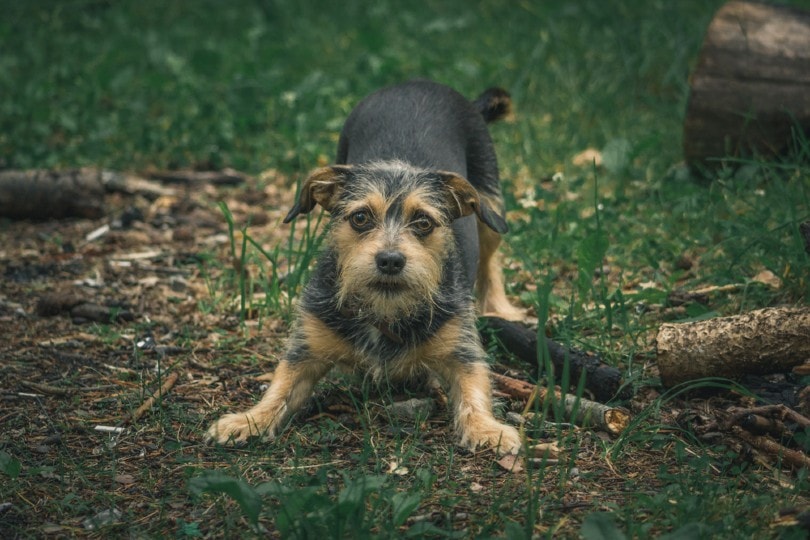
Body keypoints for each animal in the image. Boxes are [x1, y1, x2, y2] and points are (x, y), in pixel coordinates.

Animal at [208, 80, 520, 456]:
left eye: (423, 222)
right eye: (359, 218)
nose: (390, 260)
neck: (384, 310)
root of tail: (420, 83)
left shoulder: (462, 348)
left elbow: (476, 389)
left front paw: (487, 429)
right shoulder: (307, 345)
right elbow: (280, 385)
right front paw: (249, 419)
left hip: (490, 204)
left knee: (490, 258)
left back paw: (501, 307)